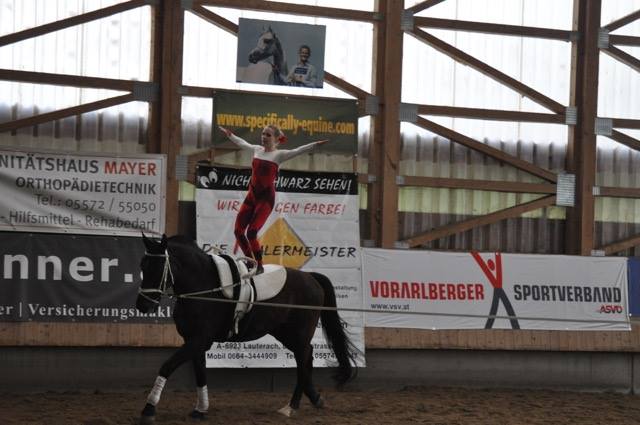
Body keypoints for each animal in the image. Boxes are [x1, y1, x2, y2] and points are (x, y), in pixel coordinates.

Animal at [135, 234, 358, 422]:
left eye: (158, 268)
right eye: (143, 266)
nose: (143, 305)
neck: (203, 288)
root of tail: (311, 277)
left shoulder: (199, 340)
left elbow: (167, 366)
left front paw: (149, 409)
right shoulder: (194, 341)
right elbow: (200, 374)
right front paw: (200, 409)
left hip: (299, 333)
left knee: (304, 359)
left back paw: (292, 406)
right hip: (285, 333)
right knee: (307, 357)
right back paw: (314, 399)